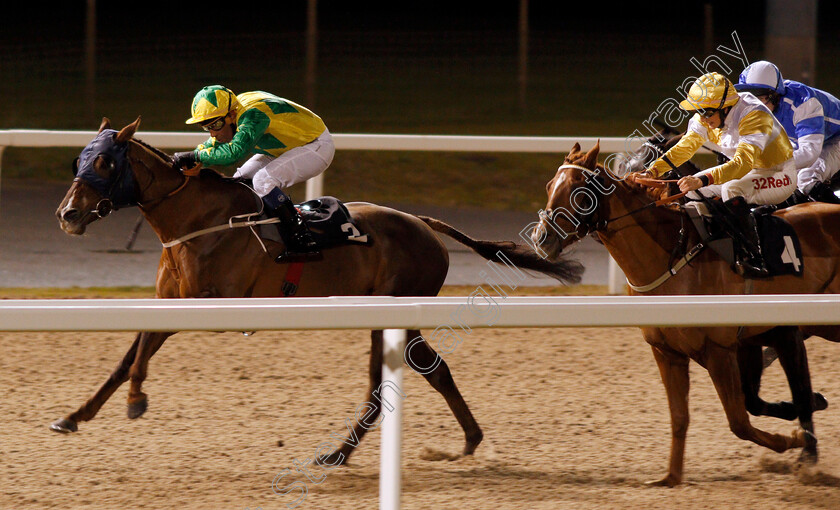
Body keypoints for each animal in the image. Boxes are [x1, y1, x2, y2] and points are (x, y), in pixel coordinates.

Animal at [49, 119, 580, 466]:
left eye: (104, 161)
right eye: (79, 159)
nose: (67, 214)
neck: (197, 221)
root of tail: (422, 222)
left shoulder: (207, 304)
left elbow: (140, 355)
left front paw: (136, 400)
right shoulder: (168, 303)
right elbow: (127, 356)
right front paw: (74, 416)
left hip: (399, 308)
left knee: (410, 377)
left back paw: (356, 451)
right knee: (418, 373)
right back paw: (434, 443)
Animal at [532, 141, 840, 484]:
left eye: (580, 192)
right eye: (549, 187)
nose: (541, 238)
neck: (675, 260)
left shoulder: (733, 345)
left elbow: (743, 419)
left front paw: (799, 442)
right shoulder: (670, 352)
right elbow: (683, 416)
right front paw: (670, 476)